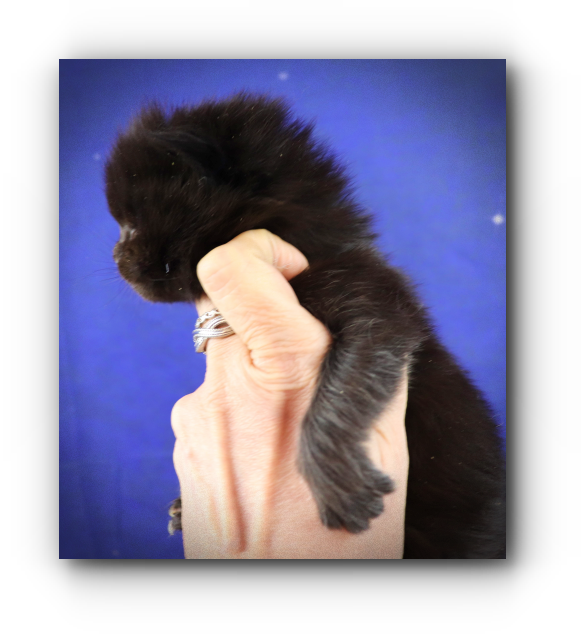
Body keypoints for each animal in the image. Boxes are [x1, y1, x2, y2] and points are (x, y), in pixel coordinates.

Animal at [105, 92, 506, 558]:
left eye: (131, 225)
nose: (115, 258)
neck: (310, 245)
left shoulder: (376, 304)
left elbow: (343, 386)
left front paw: (335, 481)